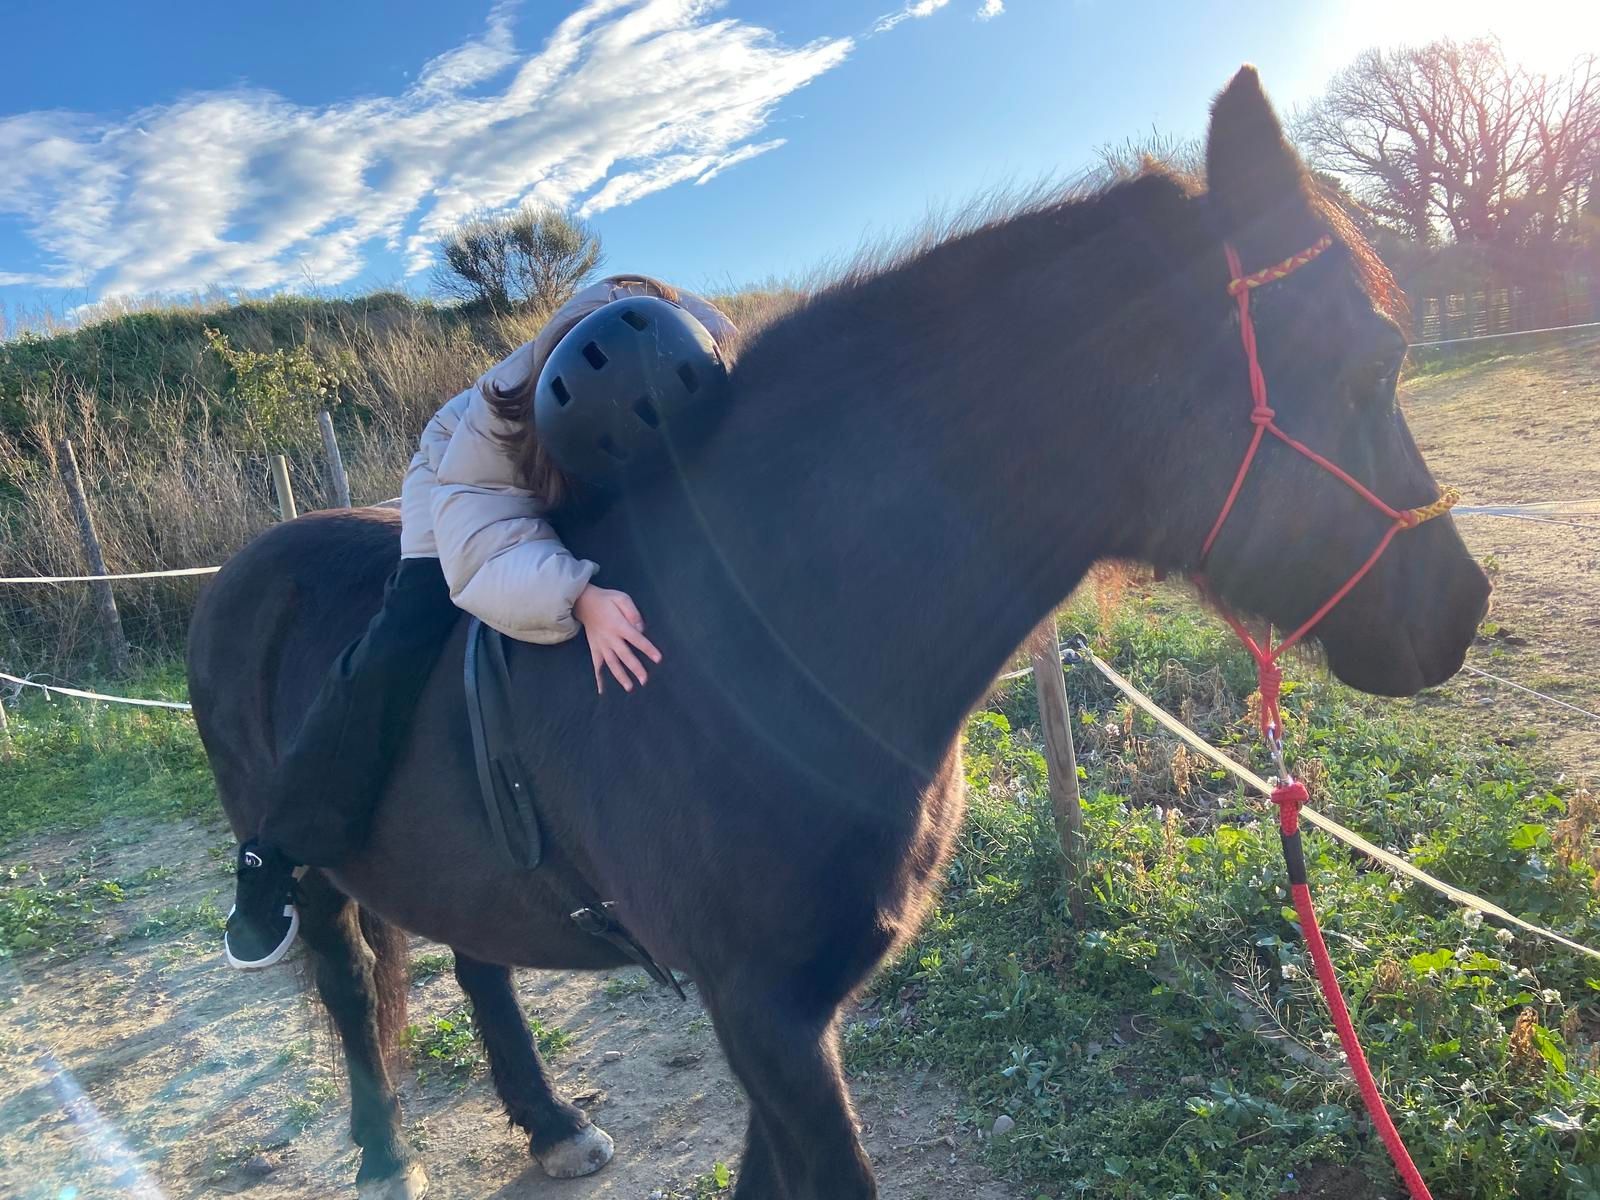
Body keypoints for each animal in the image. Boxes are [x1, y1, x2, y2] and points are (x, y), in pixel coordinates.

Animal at [186, 67, 1489, 1200]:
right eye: (1374, 362)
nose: (1457, 609)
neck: (759, 634)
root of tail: (240, 569)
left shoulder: (796, 1014)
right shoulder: (762, 1013)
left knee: (477, 957)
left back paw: (550, 1124)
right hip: (308, 864)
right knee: (346, 984)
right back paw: (379, 1151)